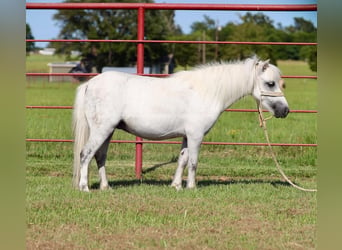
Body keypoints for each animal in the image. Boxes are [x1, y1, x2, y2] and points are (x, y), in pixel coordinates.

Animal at [73, 56, 288, 191]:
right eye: (270, 83)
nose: (285, 110)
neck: (205, 92)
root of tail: (90, 84)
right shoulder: (196, 135)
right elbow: (193, 162)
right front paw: (192, 187)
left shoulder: (186, 136)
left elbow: (182, 160)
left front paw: (176, 185)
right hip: (102, 130)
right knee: (86, 154)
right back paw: (84, 187)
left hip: (108, 132)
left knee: (99, 156)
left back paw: (105, 187)